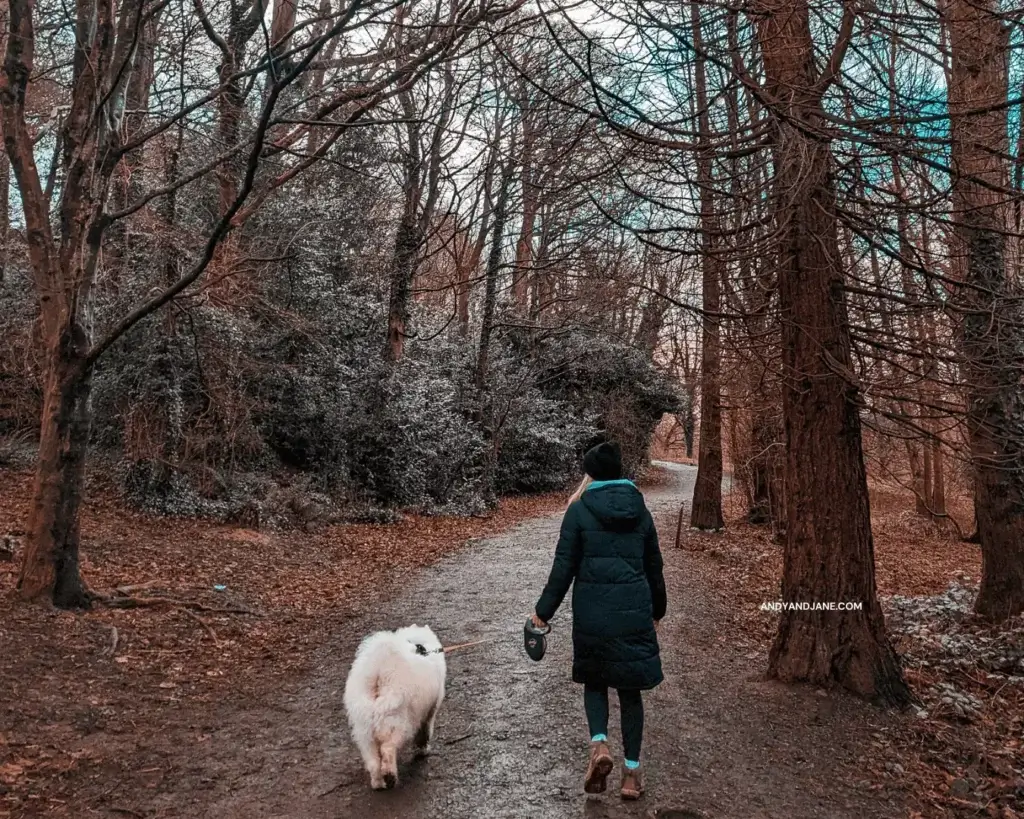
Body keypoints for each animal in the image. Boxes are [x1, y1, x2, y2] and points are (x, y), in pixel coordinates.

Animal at [342, 622, 446, 790]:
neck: (418, 643)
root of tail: (379, 673)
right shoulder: (430, 709)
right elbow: (425, 732)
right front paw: (423, 750)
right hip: (400, 722)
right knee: (388, 748)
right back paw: (390, 776)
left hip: (364, 730)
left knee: (373, 761)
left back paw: (378, 783)